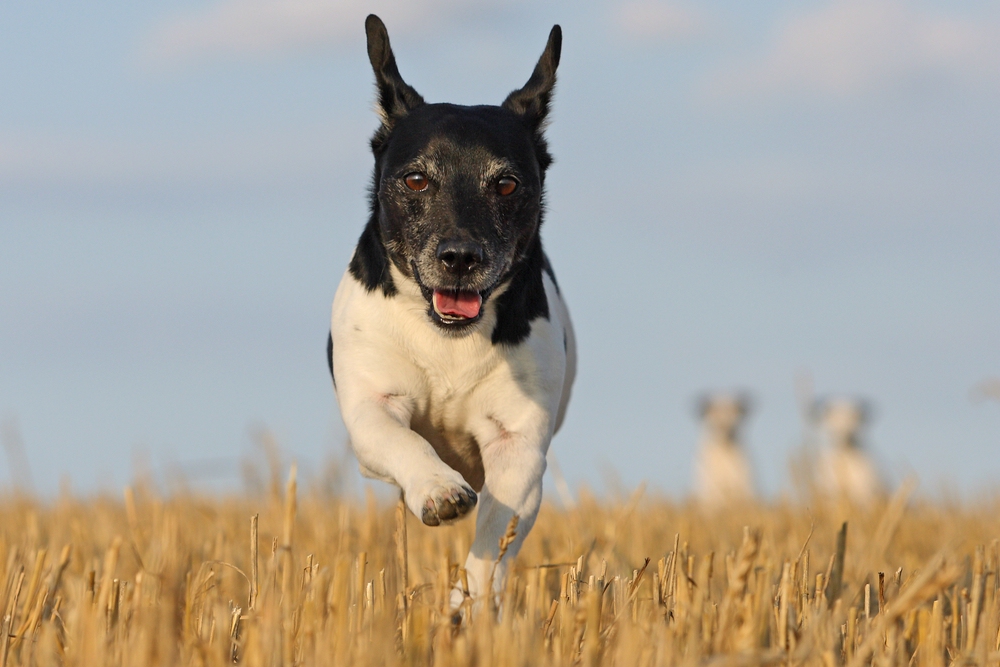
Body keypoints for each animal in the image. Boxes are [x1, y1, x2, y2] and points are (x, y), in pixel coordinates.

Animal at [328, 15, 576, 612]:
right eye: (416, 179)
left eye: (506, 183)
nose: (461, 257)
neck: (447, 336)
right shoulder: (371, 409)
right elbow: (405, 440)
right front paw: (439, 490)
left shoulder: (517, 447)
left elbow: (493, 539)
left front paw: (471, 604)